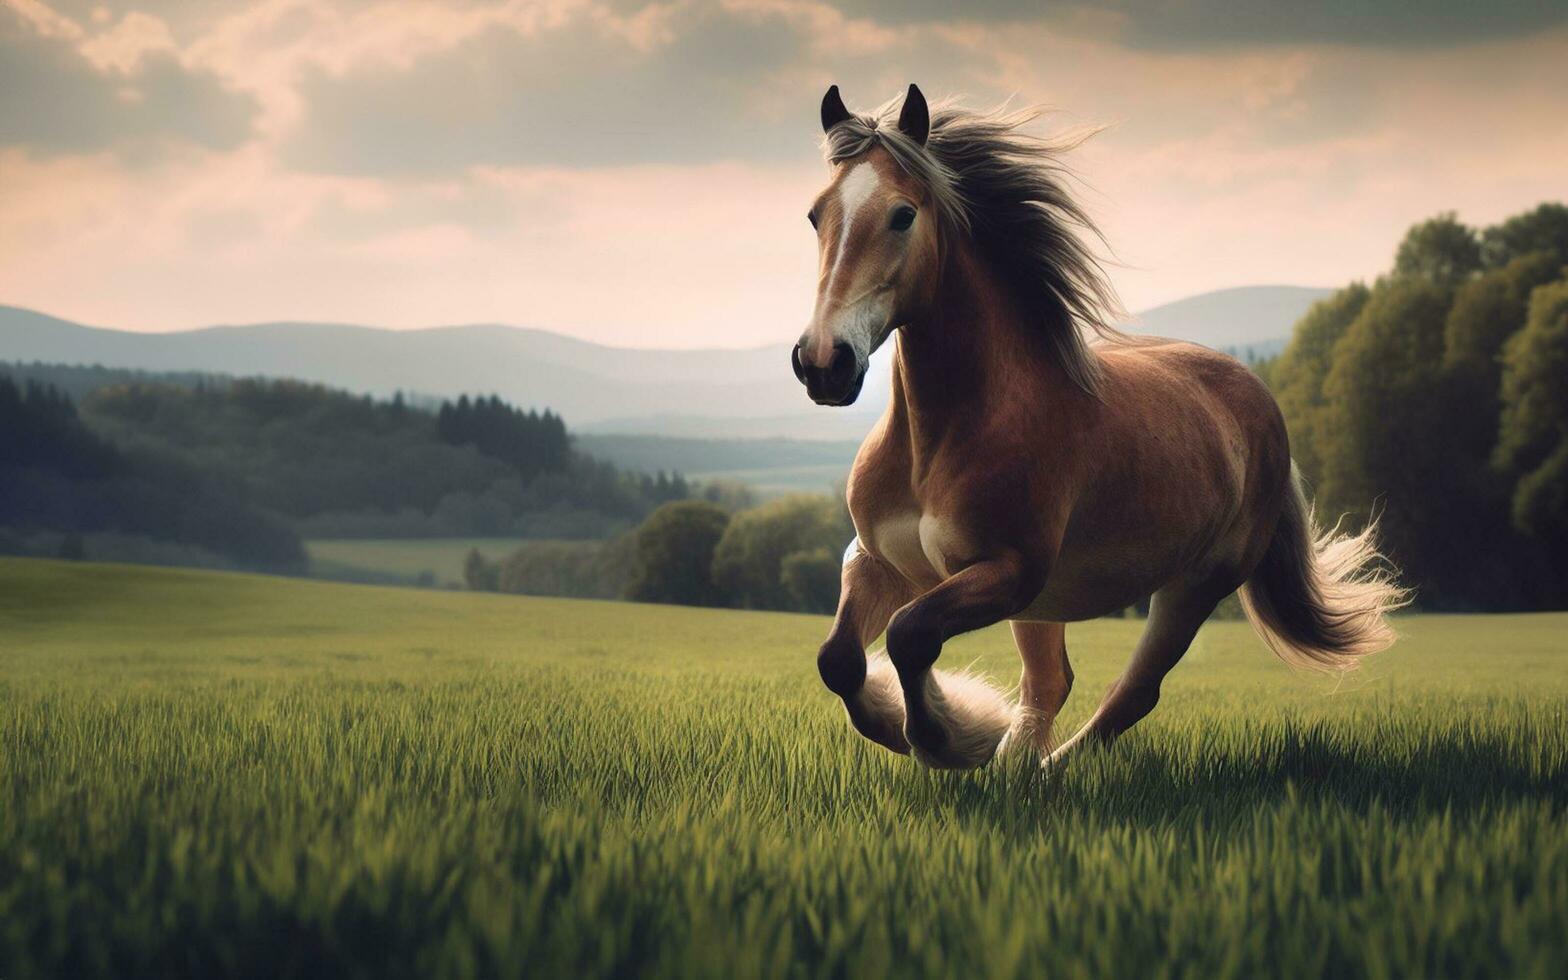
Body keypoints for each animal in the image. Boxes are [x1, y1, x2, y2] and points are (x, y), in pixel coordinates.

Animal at [796, 83, 1411, 768]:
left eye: (902, 215)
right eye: (817, 215)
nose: (822, 362)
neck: (939, 440)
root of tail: (1260, 401)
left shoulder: (1008, 573)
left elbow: (909, 636)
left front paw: (952, 737)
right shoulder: (880, 560)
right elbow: (838, 658)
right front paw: (934, 728)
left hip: (1191, 587)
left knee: (1131, 691)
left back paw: (1040, 770)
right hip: (1050, 603)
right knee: (1051, 682)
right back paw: (1020, 766)